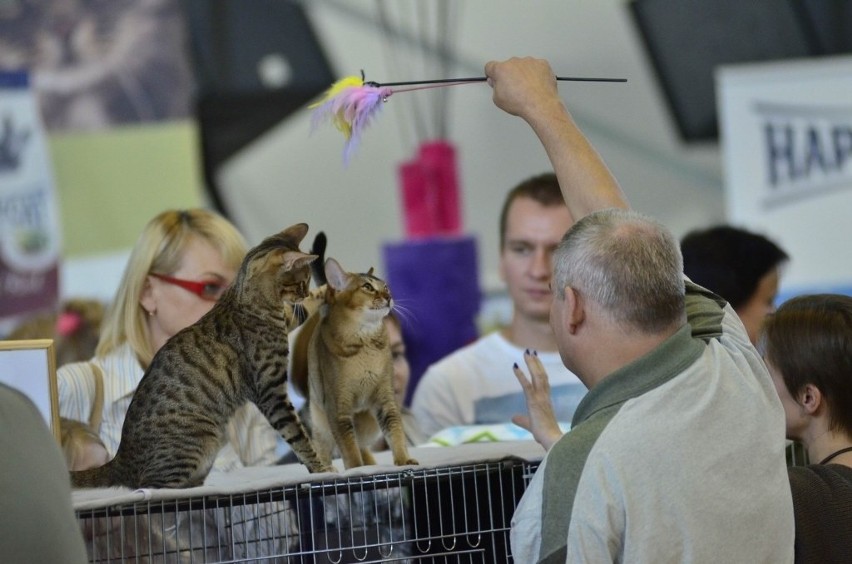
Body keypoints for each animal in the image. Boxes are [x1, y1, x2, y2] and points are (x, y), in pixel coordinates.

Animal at [70, 224, 336, 490]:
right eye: (301, 282)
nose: (304, 292)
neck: (246, 300)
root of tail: (120, 459)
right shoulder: (271, 391)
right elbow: (297, 435)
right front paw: (320, 467)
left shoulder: (286, 320)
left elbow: (305, 309)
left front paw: (329, 289)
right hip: (197, 441)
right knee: (152, 487)